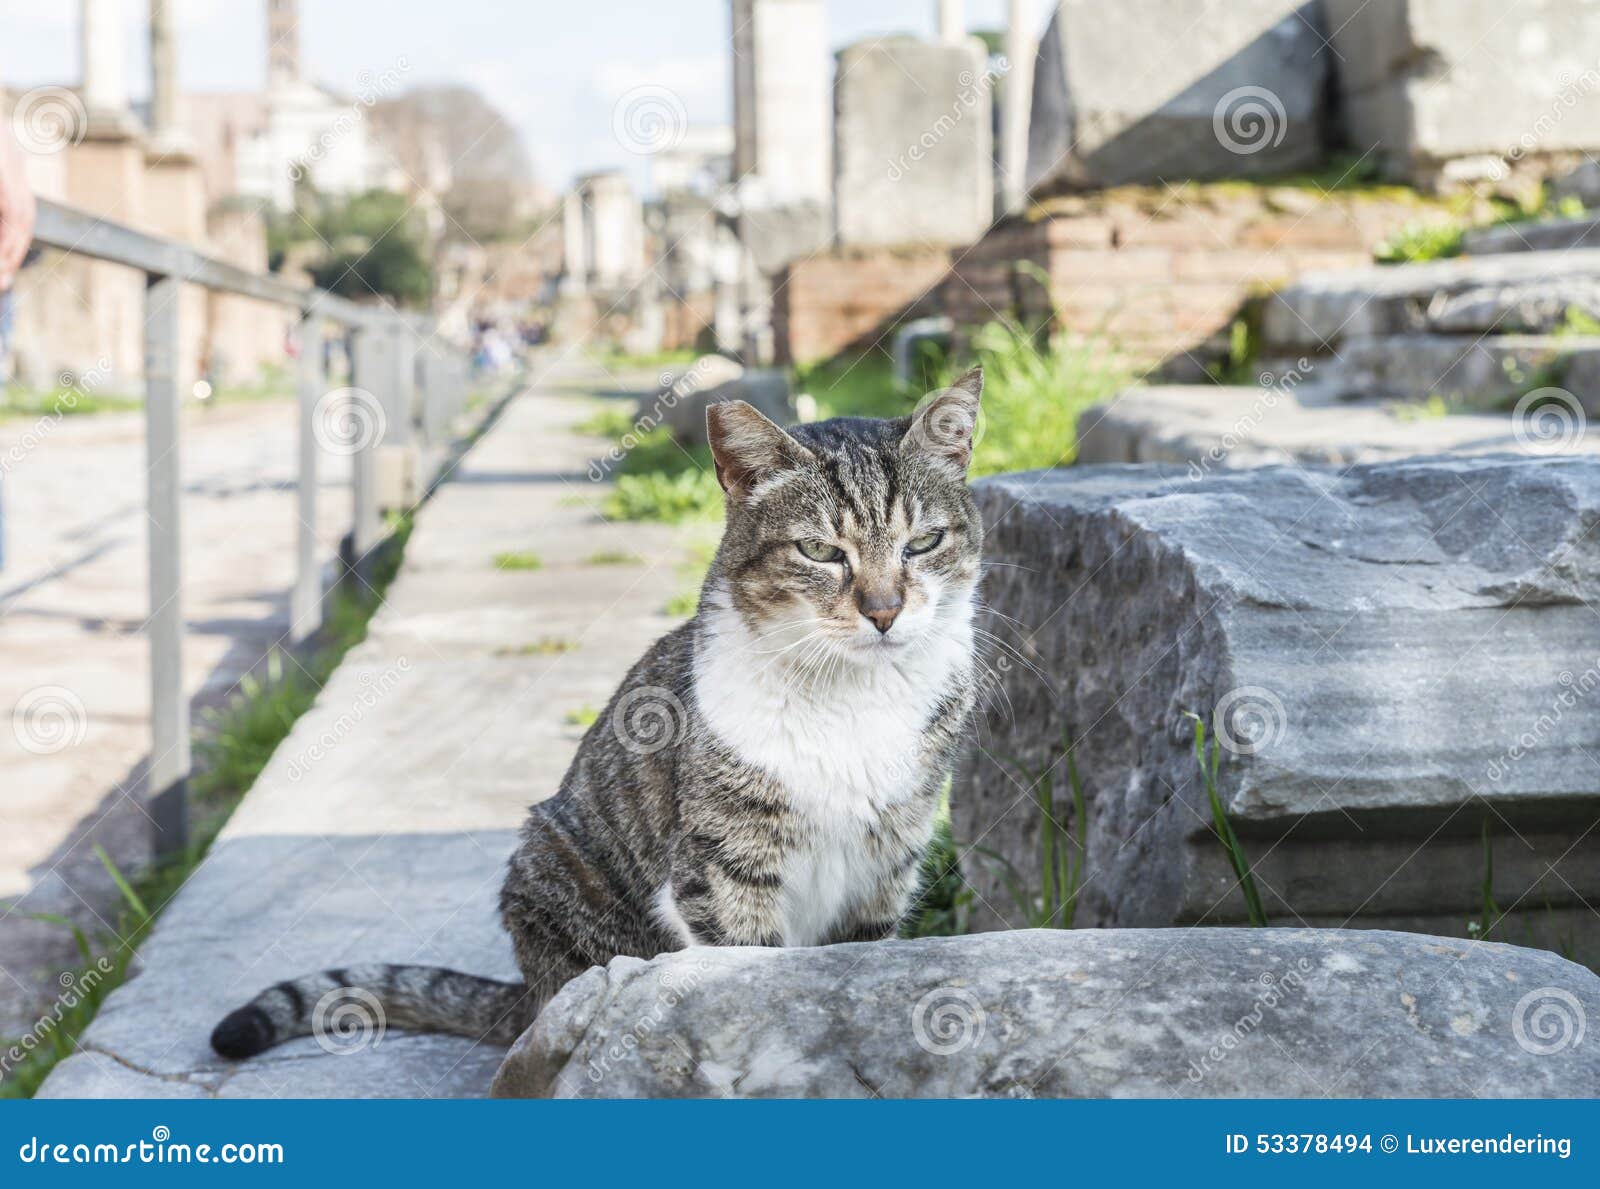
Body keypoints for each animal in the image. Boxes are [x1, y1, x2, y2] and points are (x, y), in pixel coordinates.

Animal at [209, 368, 985, 1056]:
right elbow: (747, 968)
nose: (884, 610)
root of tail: (527, 992)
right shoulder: (723, 871)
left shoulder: (886, 865)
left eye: (923, 542)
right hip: (555, 865)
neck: (854, 694)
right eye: (821, 550)